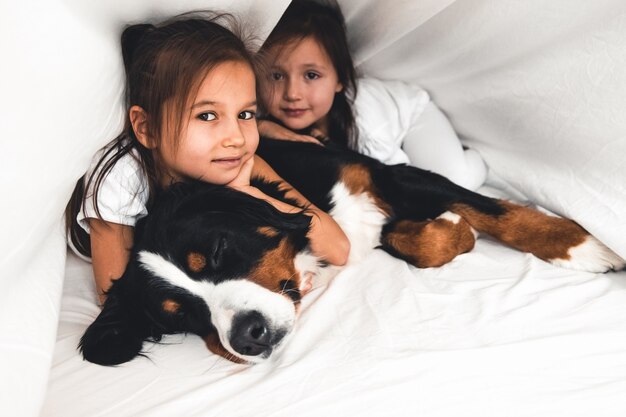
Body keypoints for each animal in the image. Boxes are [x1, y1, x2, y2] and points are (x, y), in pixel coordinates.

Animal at [80, 137, 620, 364]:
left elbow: (495, 212)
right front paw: (453, 232)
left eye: (216, 249)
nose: (249, 337)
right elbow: (416, 239)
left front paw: (583, 246)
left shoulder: (382, 175)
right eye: (180, 316)